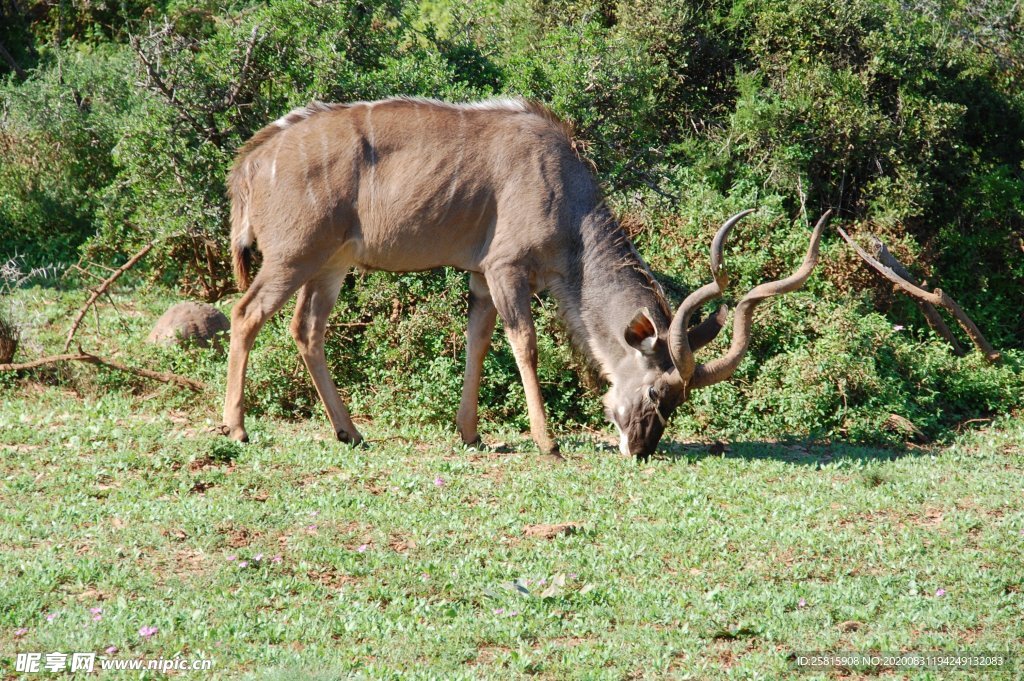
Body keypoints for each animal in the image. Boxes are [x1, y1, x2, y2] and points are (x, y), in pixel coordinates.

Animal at [224, 95, 831, 456]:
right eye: (659, 392)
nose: (639, 448)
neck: (568, 202)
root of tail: (250, 163)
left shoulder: (479, 279)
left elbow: (478, 340)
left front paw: (470, 434)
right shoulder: (505, 269)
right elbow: (525, 343)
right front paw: (547, 441)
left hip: (330, 265)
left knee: (306, 330)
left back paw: (349, 431)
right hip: (293, 258)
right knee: (245, 313)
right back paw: (237, 427)